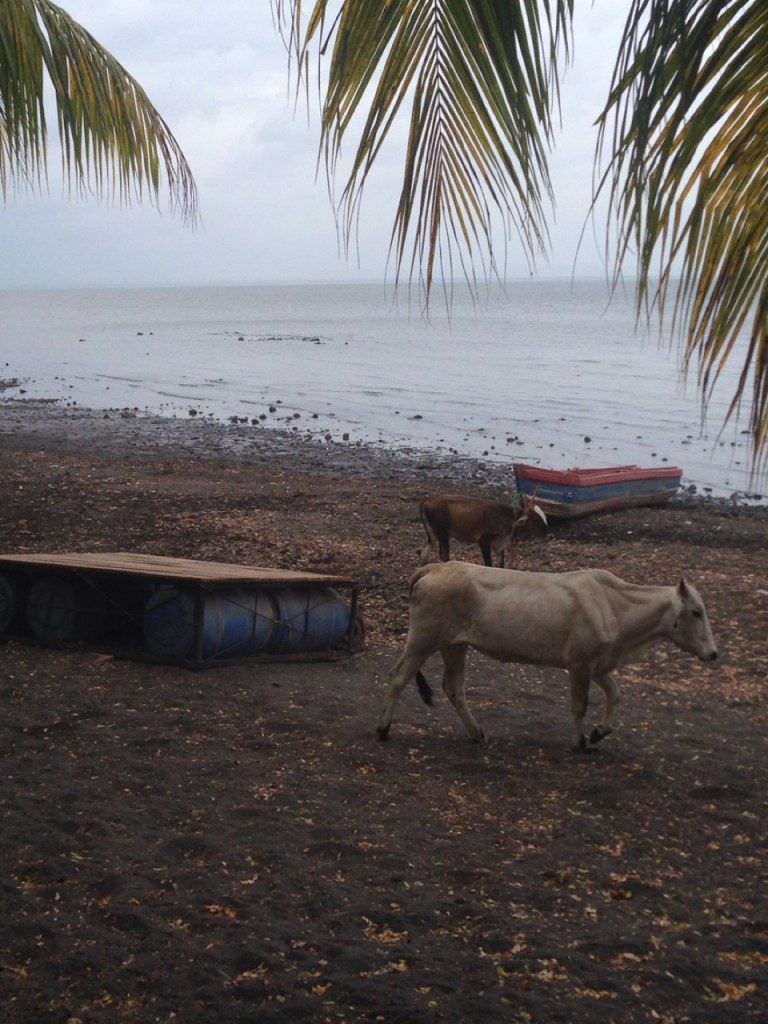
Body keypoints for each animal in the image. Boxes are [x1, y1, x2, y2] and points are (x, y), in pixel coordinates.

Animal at [376, 562, 718, 751]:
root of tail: (436, 566)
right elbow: (580, 705)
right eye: (696, 612)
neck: (616, 607)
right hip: (423, 640)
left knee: (453, 687)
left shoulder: (598, 664)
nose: (713, 653)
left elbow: (615, 694)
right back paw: (383, 729)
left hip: (454, 645)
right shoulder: (579, 664)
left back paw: (478, 734)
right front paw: (579, 742)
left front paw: (600, 732)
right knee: (397, 677)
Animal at [418, 492, 549, 568]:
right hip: (442, 533)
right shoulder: (483, 541)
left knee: (425, 554)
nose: (550, 535)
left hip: (432, 534)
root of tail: (427, 500)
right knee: (444, 556)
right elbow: (489, 565)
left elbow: (500, 565)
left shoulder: (500, 546)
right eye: (536, 519)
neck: (507, 518)